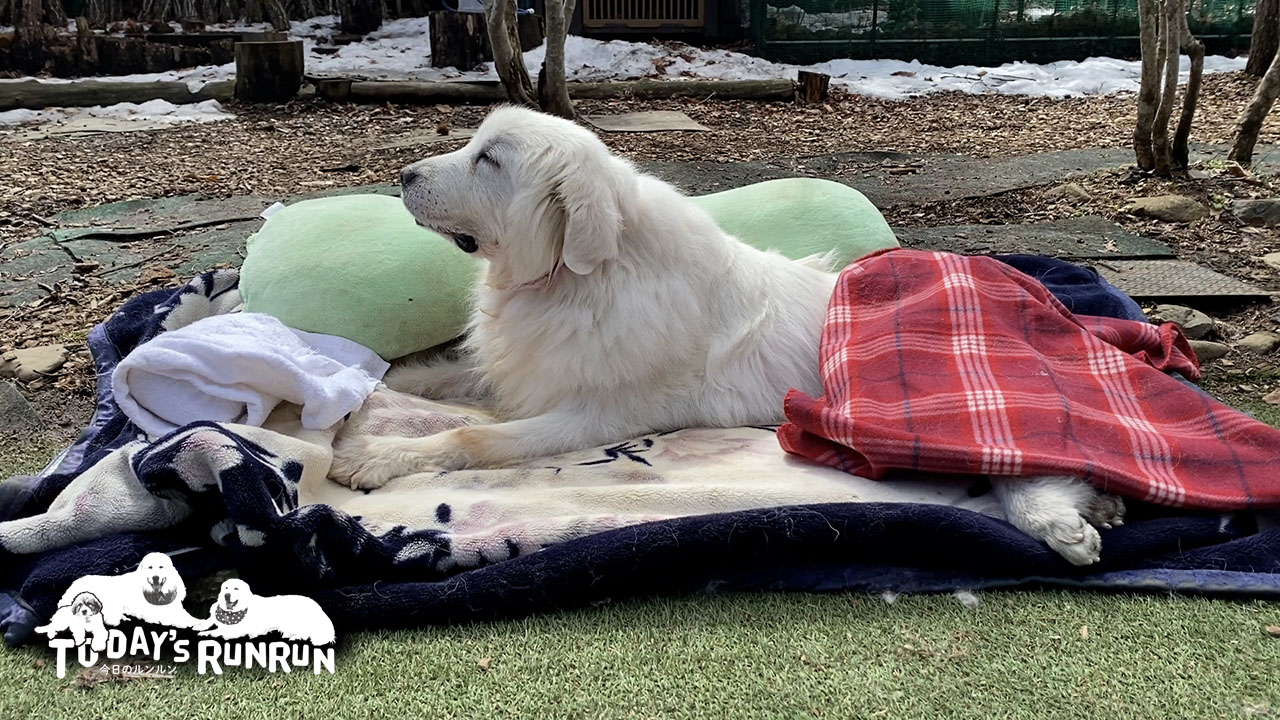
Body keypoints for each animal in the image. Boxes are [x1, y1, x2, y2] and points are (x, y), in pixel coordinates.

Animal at [200, 579, 335, 645]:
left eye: (236, 589)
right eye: (226, 588)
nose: (226, 595)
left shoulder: (238, 630)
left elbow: (218, 631)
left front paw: (206, 634)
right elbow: (214, 625)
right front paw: (203, 629)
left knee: (305, 633)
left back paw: (294, 637)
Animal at [328, 106, 1125, 565]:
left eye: (489, 158)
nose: (403, 173)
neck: (575, 277)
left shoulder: (595, 415)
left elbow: (473, 436)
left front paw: (379, 457)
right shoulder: (523, 370)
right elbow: (437, 373)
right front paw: (373, 381)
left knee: (1021, 453)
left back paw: (1058, 520)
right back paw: (1095, 507)